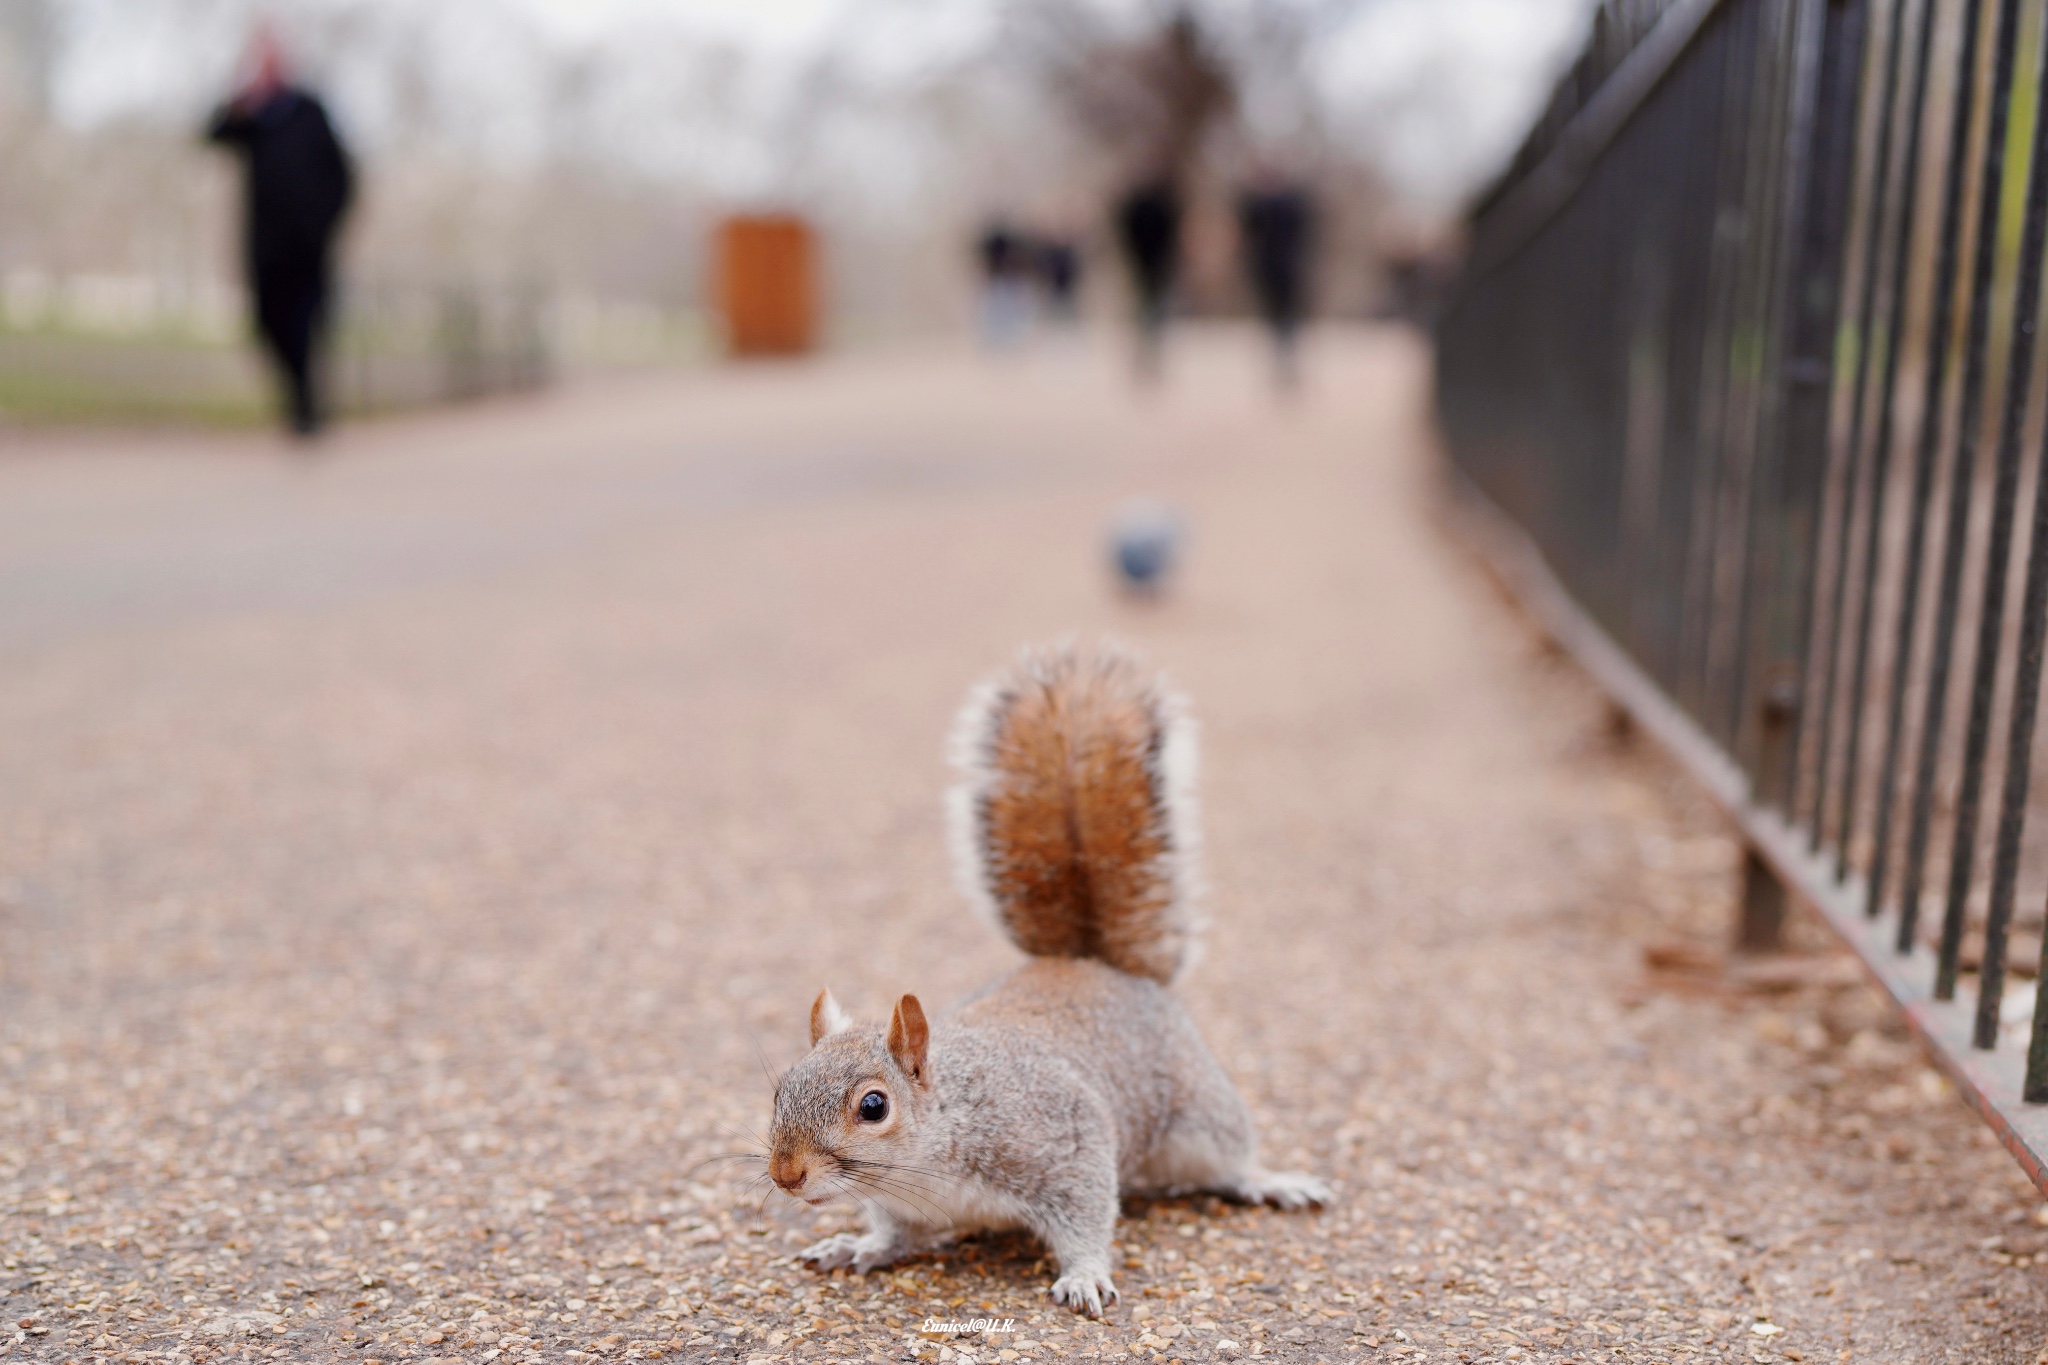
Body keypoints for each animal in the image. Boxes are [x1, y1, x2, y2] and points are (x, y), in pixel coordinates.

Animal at [770, 646, 1327, 1317]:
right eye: (779, 1091)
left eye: (873, 1106)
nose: (785, 1175)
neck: (941, 1140)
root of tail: (1089, 963)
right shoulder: (908, 1209)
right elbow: (893, 1237)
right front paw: (857, 1245)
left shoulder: (1063, 1143)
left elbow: (1086, 1215)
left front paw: (1084, 1275)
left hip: (1201, 1115)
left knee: (1231, 1161)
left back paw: (1272, 1181)